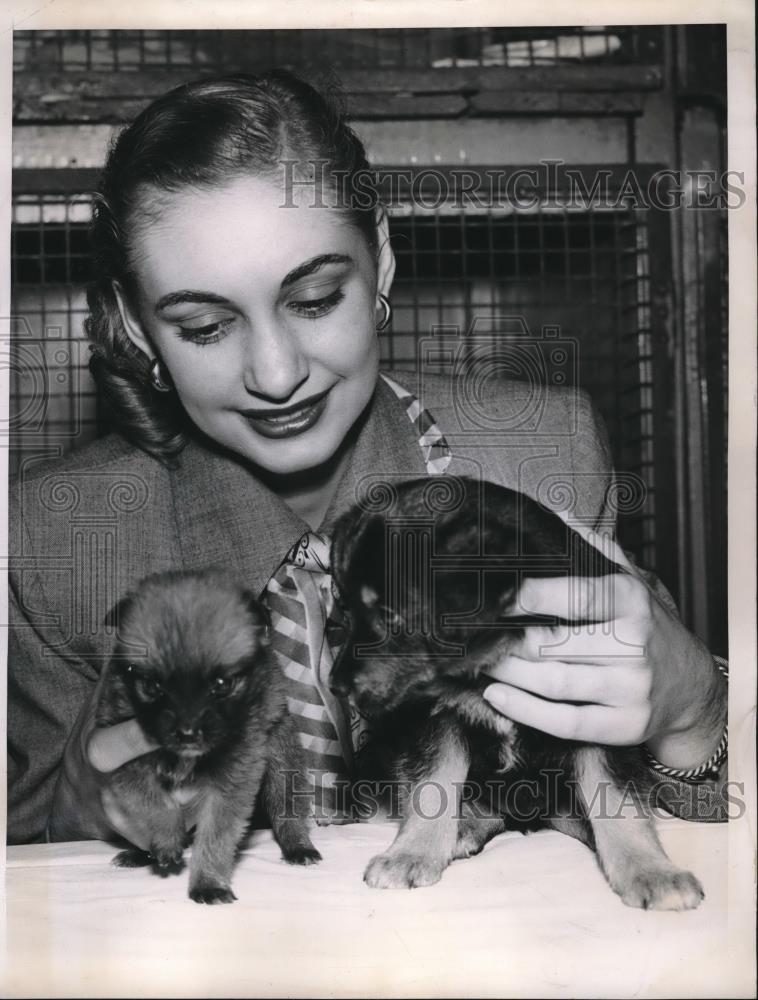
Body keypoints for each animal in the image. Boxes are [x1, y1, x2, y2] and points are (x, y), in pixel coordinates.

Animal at [95, 572, 320, 908]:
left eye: (222, 684)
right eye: (152, 685)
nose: (188, 732)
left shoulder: (235, 774)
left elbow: (216, 835)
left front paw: (208, 883)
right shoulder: (123, 754)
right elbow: (149, 799)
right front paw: (167, 835)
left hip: (281, 751)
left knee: (286, 807)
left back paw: (298, 846)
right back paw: (138, 854)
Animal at [332, 474, 708, 908]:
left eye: (392, 617)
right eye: (344, 612)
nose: (335, 686)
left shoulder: (606, 716)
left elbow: (618, 798)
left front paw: (651, 871)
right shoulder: (436, 718)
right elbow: (432, 785)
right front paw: (410, 854)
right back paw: (461, 828)